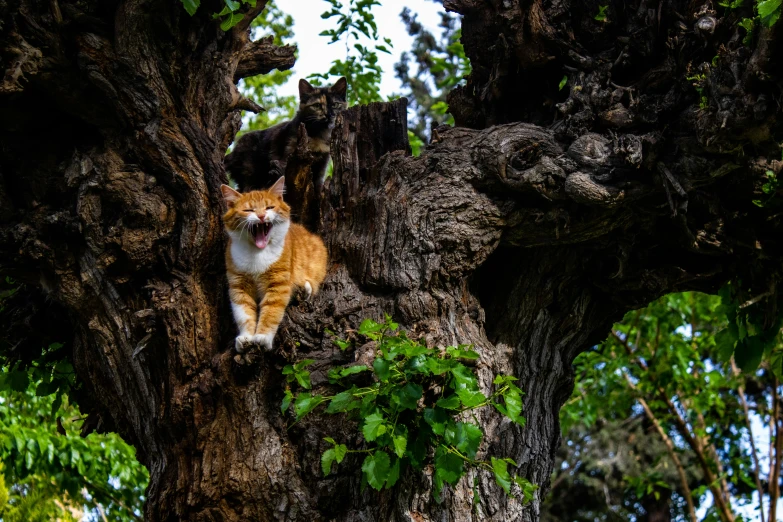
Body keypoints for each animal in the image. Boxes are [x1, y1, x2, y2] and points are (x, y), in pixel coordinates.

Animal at [220, 177, 328, 352]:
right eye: (249, 210)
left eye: (269, 207)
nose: (261, 215)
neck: (257, 253)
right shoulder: (239, 286)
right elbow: (243, 313)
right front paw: (246, 337)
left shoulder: (278, 284)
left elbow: (271, 312)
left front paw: (263, 337)